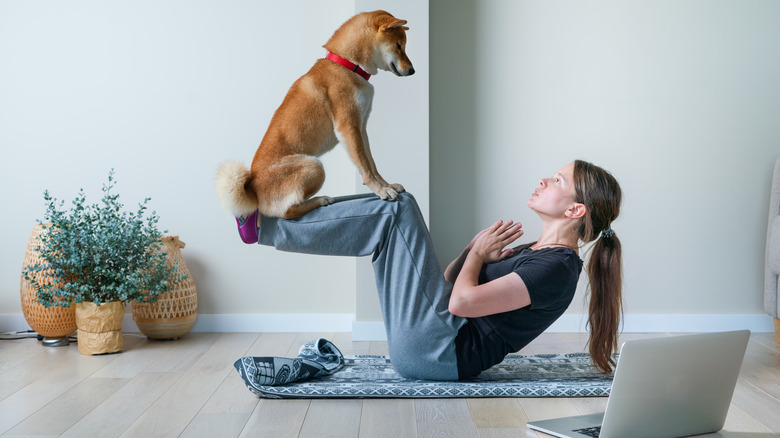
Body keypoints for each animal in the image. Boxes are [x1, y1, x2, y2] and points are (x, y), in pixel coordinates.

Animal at [216, 10, 414, 224]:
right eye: (399, 46)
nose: (412, 71)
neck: (348, 65)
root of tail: (252, 191)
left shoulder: (361, 128)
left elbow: (372, 164)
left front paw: (387, 185)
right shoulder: (348, 128)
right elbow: (365, 168)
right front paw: (381, 191)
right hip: (314, 165)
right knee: (287, 212)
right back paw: (320, 200)